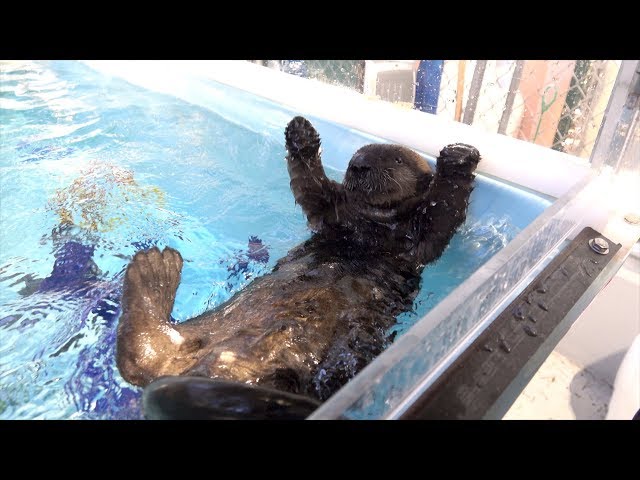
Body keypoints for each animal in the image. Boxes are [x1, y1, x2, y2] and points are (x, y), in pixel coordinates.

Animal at [116, 115, 480, 416]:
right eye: (356, 154)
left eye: (397, 159)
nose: (358, 163)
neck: (371, 224)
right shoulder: (331, 210)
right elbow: (311, 187)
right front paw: (300, 133)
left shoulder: (419, 238)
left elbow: (443, 210)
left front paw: (459, 157)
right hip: (202, 330)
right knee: (143, 361)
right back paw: (155, 273)